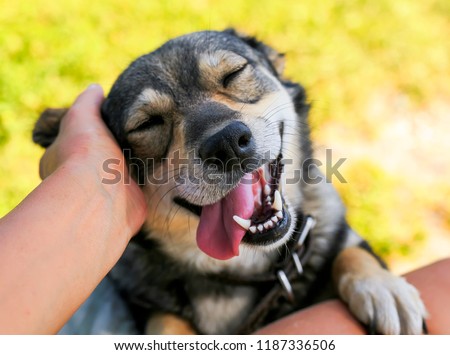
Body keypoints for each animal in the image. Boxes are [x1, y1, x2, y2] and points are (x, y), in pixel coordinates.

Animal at [33, 29, 428, 336]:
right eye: (147, 124)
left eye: (234, 73)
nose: (226, 144)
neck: (244, 269)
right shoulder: (144, 301)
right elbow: (165, 321)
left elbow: (350, 251)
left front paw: (381, 287)